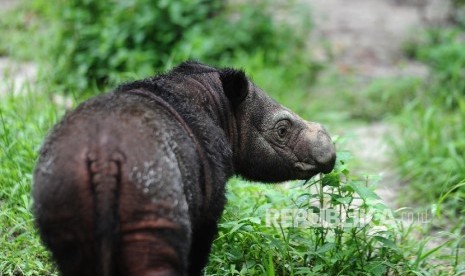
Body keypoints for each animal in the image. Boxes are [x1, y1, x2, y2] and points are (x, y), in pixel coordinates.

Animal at [33, 61, 338, 274]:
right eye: (282, 130)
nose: (329, 151)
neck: (219, 102)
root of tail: (104, 160)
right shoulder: (208, 205)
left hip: (63, 183)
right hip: (151, 184)